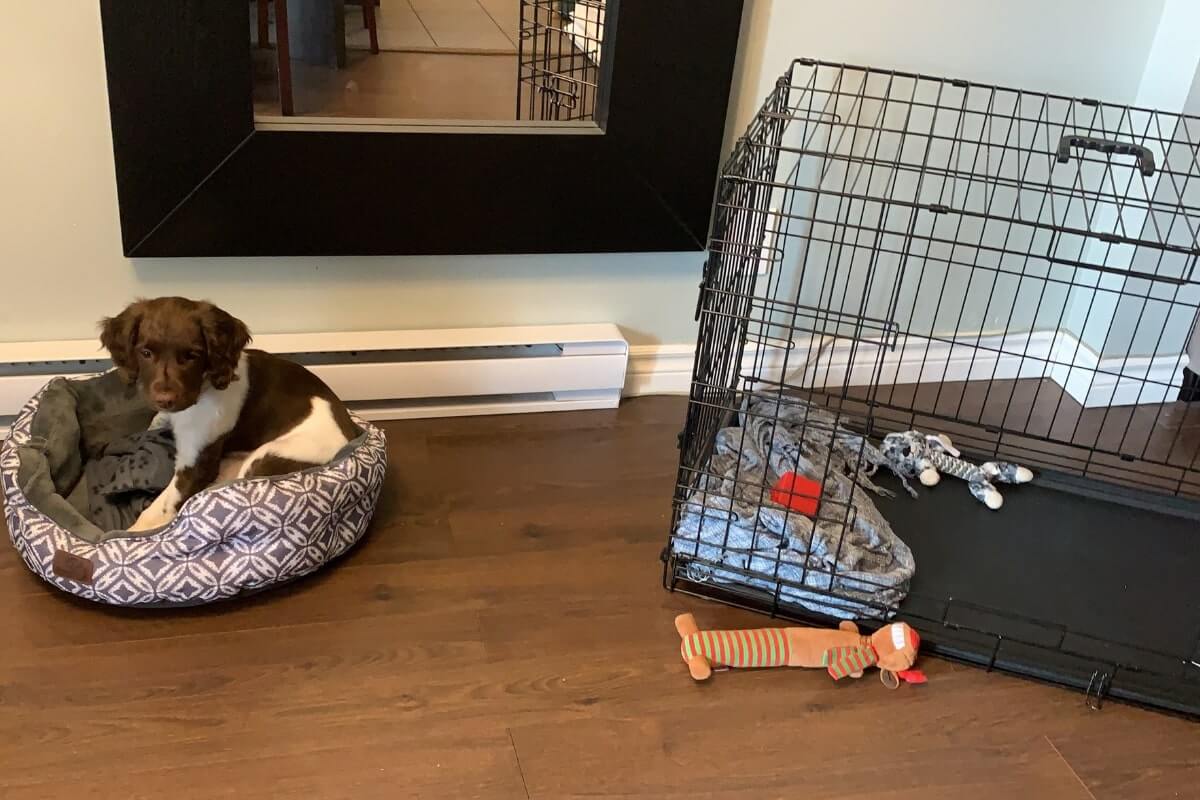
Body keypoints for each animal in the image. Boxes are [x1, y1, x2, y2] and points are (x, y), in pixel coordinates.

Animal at [101, 296, 355, 532]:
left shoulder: (197, 464)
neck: (203, 389)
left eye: (192, 355)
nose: (165, 400)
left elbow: (162, 506)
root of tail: (351, 432)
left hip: (267, 458)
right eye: (145, 352)